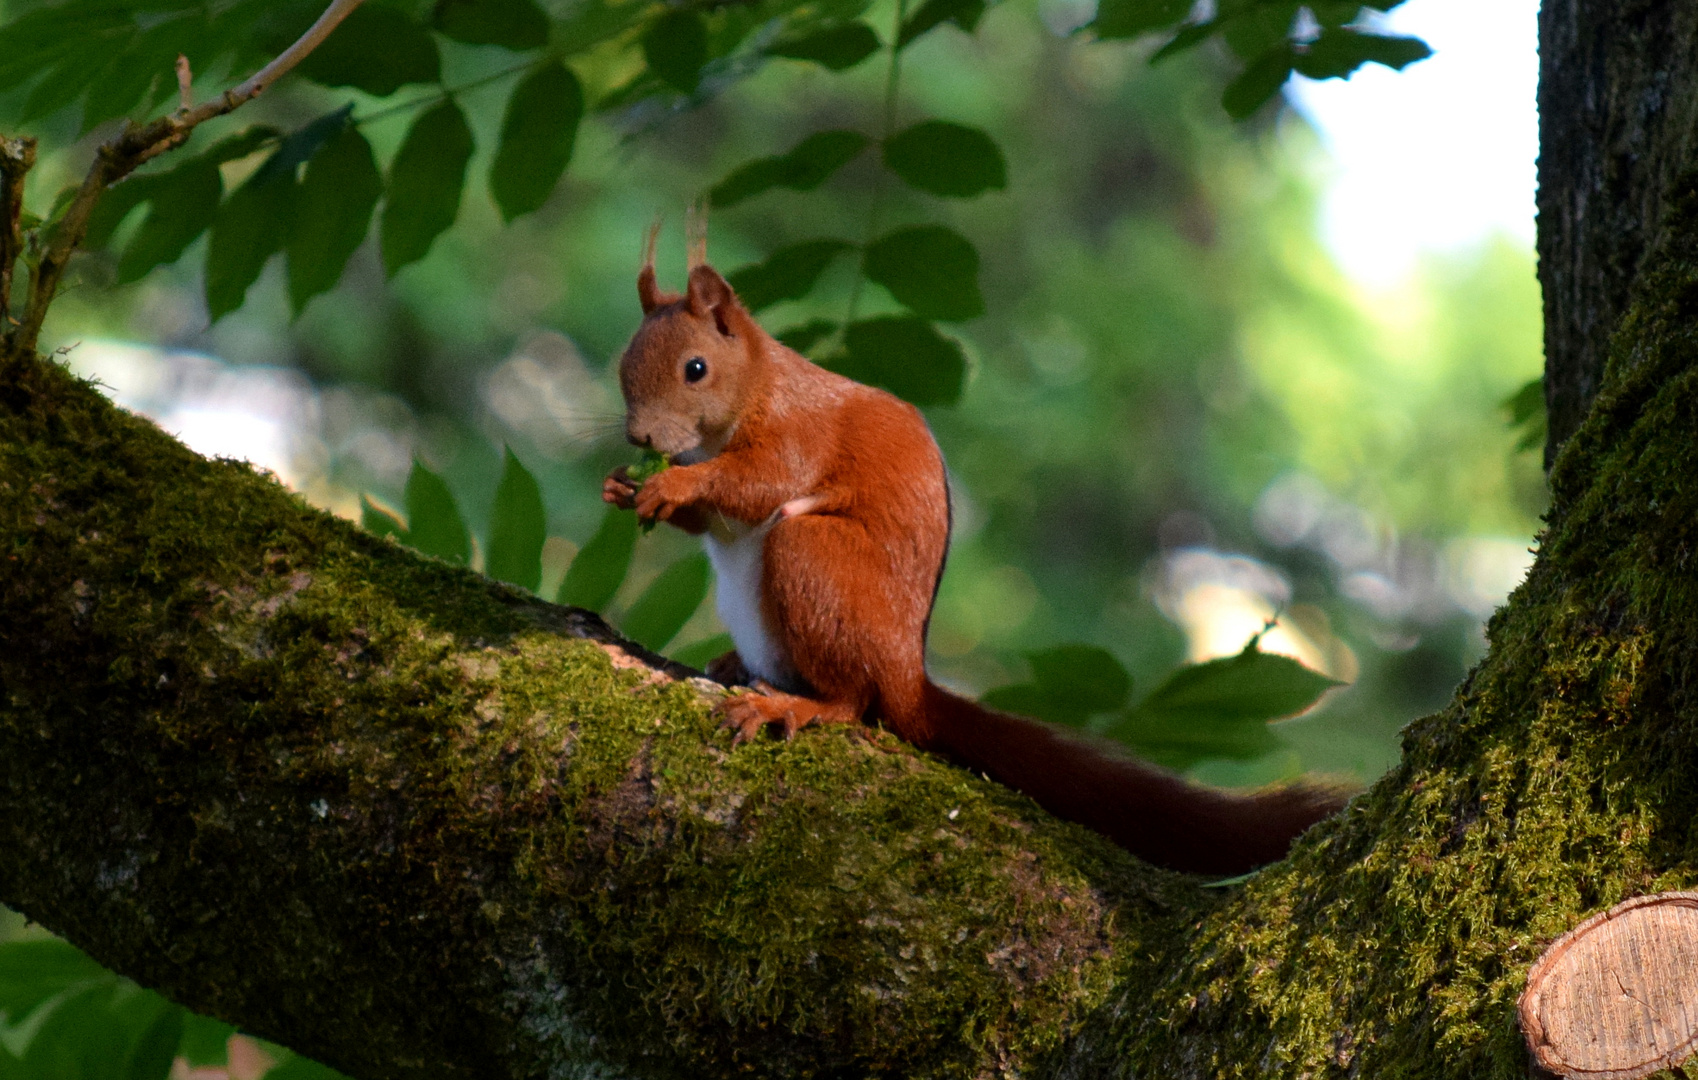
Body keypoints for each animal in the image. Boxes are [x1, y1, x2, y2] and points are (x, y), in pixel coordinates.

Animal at [604, 241, 1344, 876]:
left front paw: (673, 484)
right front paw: (624, 486)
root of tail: (908, 674)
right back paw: (738, 665)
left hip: (812, 561)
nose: (641, 437)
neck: (754, 388)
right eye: (623, 366)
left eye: (696, 369)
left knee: (854, 699)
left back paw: (794, 707)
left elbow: (760, 483)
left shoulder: (796, 433)